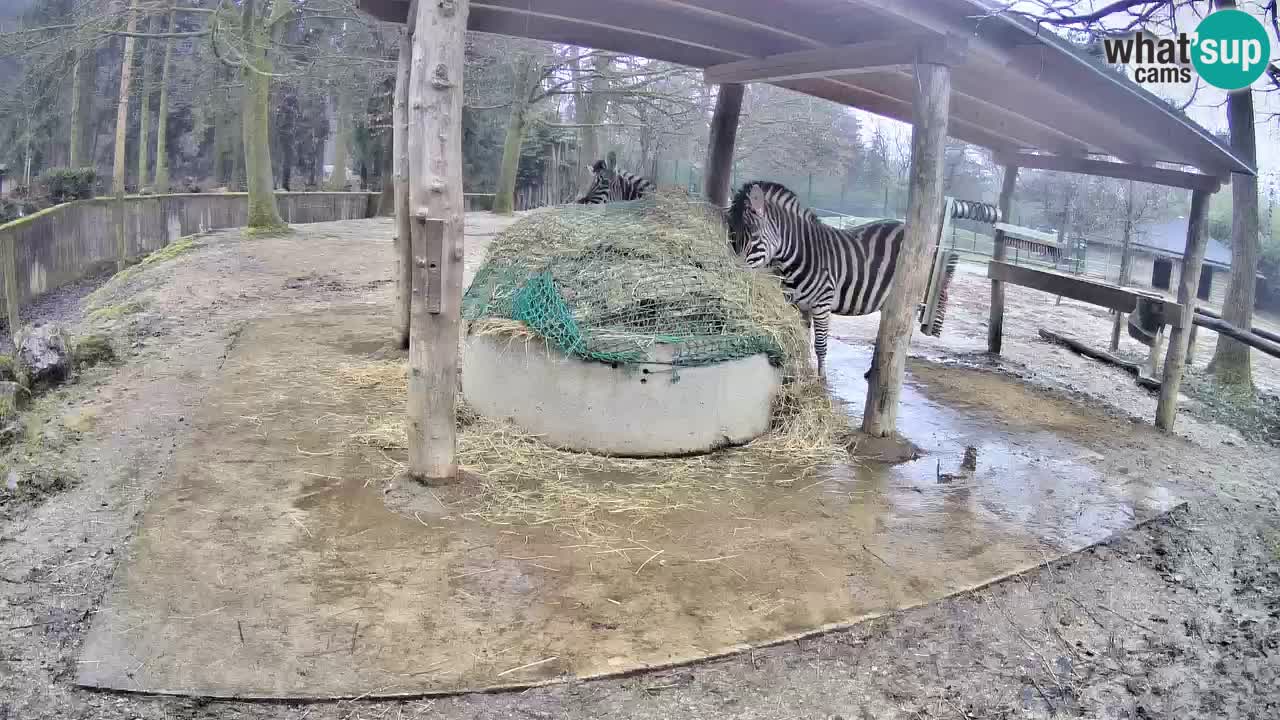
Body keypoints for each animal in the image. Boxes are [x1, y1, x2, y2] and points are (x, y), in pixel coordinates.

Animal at [729, 180, 906, 380]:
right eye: (732, 233)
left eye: (753, 235)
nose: (734, 272)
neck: (799, 255)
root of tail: (903, 225)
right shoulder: (799, 305)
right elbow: (804, 340)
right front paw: (805, 371)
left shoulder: (822, 304)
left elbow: (820, 345)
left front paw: (821, 378)